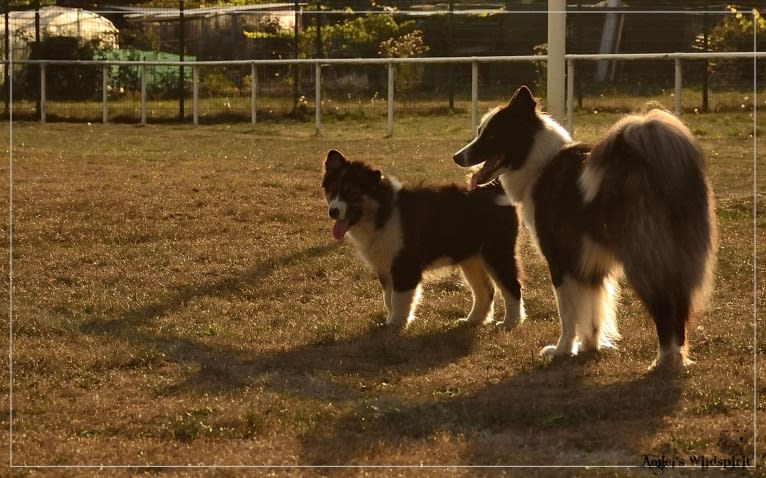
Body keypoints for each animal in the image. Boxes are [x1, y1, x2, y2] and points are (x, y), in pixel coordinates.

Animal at [320, 149, 524, 328]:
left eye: (352, 193)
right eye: (333, 190)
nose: (333, 212)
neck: (384, 211)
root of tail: (494, 189)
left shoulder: (405, 264)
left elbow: (399, 298)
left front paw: (395, 325)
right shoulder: (385, 267)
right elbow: (388, 299)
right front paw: (389, 322)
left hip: (497, 251)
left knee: (512, 287)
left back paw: (510, 323)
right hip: (471, 258)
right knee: (485, 291)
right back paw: (472, 320)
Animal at [452, 86, 716, 370]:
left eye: (491, 135)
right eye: (480, 131)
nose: (456, 157)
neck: (540, 164)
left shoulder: (560, 259)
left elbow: (568, 313)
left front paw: (562, 350)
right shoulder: (589, 263)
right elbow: (592, 311)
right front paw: (589, 346)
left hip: (644, 256)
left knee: (664, 303)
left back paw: (664, 359)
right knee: (680, 303)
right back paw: (676, 358)